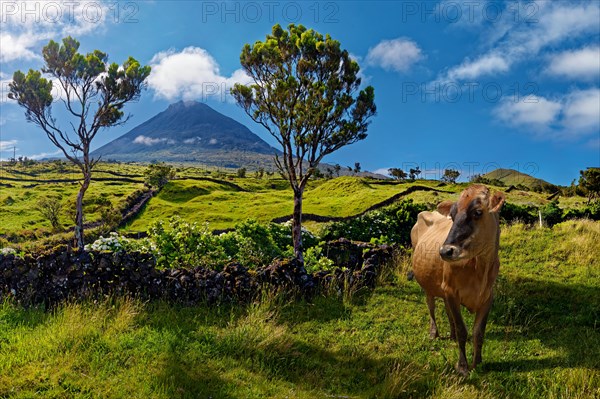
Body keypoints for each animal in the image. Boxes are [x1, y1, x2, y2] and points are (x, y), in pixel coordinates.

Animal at [410, 186, 504, 376]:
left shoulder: (488, 296)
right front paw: (462, 367)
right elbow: (462, 331)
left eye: (478, 212)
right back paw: (434, 333)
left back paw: (451, 335)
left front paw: (478, 362)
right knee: (431, 306)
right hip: (427, 285)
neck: (480, 267)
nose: (445, 251)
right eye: (452, 216)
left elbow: (479, 332)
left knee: (447, 311)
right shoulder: (452, 291)